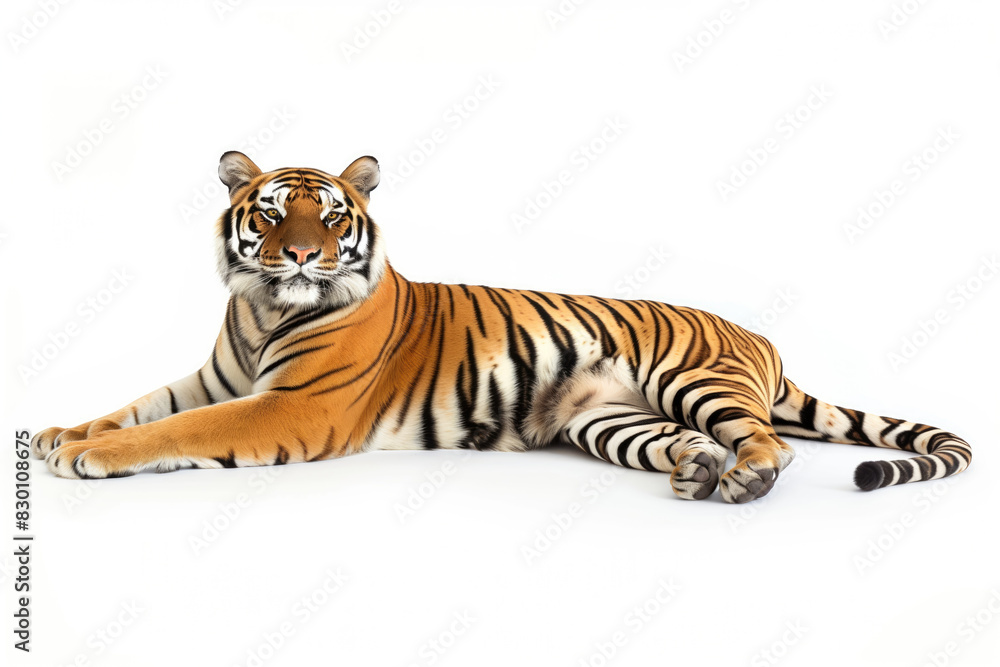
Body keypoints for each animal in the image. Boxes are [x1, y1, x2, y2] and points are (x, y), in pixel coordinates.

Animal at [30, 151, 972, 503]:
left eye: (330, 216)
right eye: (269, 213)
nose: (300, 254)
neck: (262, 307)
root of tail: (761, 339)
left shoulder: (289, 405)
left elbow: (178, 429)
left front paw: (88, 455)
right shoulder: (216, 376)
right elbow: (140, 404)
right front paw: (60, 432)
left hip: (694, 376)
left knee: (769, 443)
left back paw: (743, 478)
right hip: (609, 417)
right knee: (690, 441)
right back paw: (701, 468)